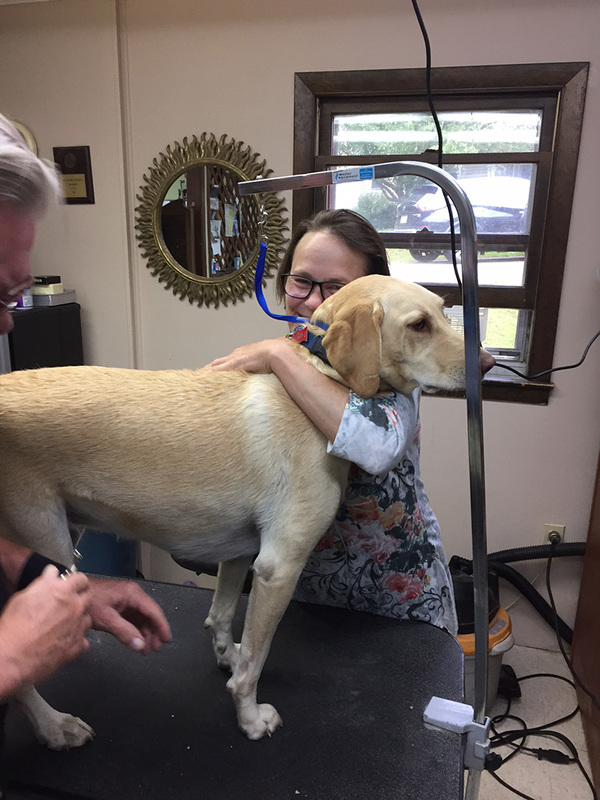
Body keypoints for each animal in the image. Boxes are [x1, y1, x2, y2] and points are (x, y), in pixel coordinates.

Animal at [0, 275, 494, 746]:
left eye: (444, 313)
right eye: (418, 325)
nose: (488, 365)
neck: (321, 375)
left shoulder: (238, 553)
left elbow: (221, 618)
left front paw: (227, 657)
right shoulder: (278, 567)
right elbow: (255, 664)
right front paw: (250, 719)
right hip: (47, 546)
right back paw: (54, 727)